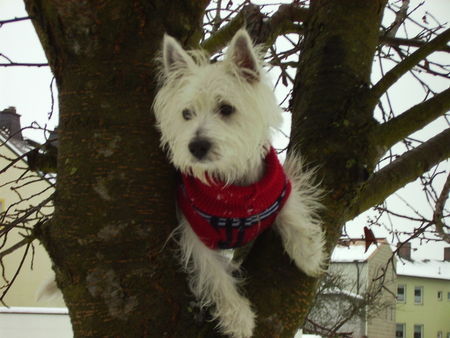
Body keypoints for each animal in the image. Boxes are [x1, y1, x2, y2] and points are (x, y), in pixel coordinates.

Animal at [153, 29, 326, 338]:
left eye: (226, 108)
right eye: (186, 114)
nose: (196, 146)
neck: (231, 187)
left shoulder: (277, 184)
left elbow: (291, 208)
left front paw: (308, 253)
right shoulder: (194, 232)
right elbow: (215, 275)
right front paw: (238, 318)